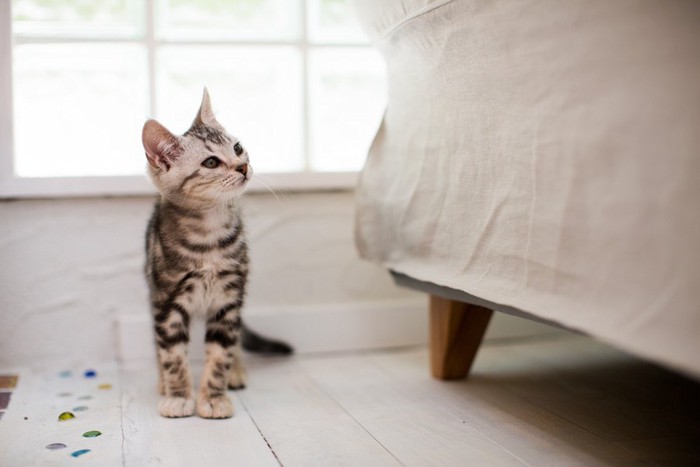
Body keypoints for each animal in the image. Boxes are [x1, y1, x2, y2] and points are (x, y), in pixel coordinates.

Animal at [143, 88, 252, 420]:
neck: (208, 235)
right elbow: (172, 354)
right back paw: (162, 383)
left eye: (238, 148)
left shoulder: (229, 299)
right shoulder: (167, 302)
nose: (243, 166)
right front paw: (178, 396)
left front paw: (215, 397)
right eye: (211, 162)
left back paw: (236, 373)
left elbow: (221, 352)